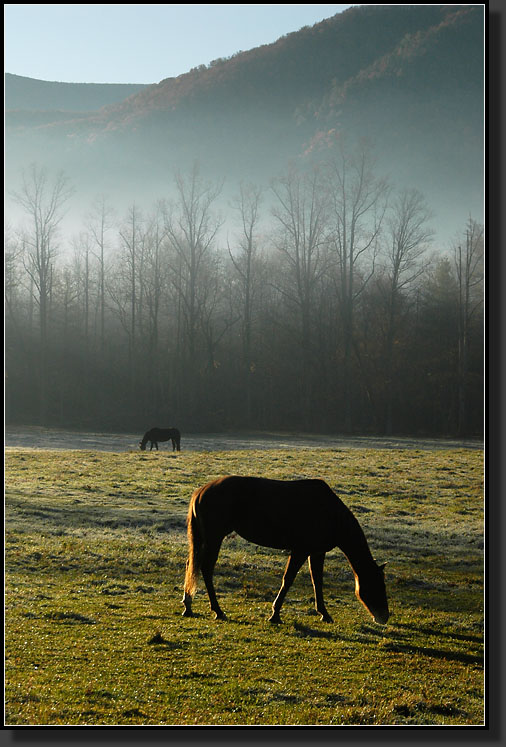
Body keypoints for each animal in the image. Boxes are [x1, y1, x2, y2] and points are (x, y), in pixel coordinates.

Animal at [183, 480, 392, 624]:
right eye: (377, 585)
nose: (384, 617)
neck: (330, 513)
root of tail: (201, 491)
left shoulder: (316, 552)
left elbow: (317, 581)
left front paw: (324, 613)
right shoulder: (300, 551)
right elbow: (288, 579)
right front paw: (275, 614)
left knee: (192, 566)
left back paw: (188, 606)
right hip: (214, 538)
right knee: (205, 568)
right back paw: (217, 611)